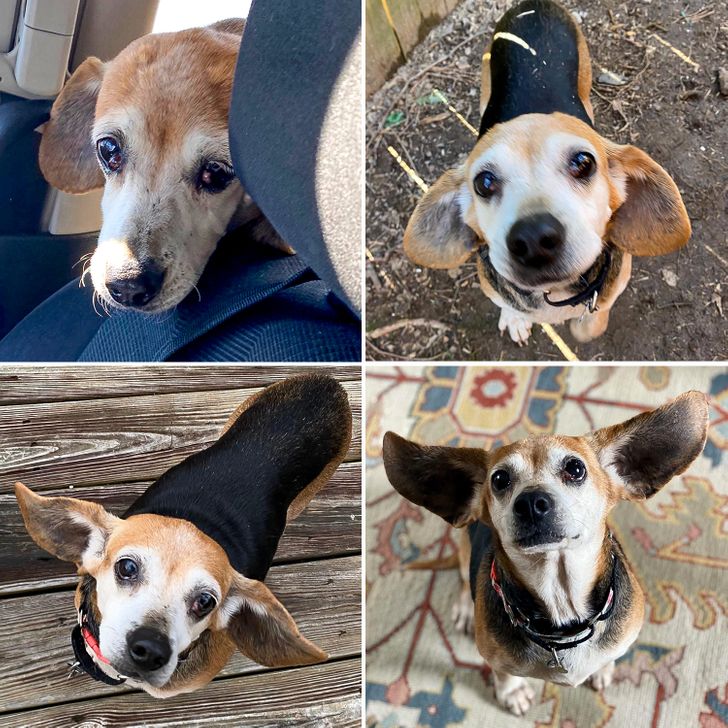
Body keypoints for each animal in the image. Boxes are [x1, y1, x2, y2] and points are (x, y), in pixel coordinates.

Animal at [384, 390, 708, 712]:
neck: (561, 606)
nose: (530, 502)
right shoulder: (496, 658)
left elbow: (610, 655)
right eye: (499, 479)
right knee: (465, 580)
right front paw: (512, 692)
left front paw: (603, 669)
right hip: (465, 549)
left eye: (575, 468)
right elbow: (503, 674)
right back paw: (465, 608)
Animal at [406, 0, 692, 344]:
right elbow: (510, 306)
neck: (553, 294)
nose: (533, 238)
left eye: (584, 163)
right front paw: (515, 318)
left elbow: (592, 322)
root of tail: (533, 4)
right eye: (484, 182)